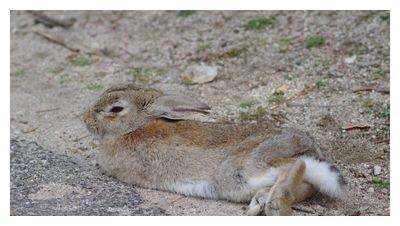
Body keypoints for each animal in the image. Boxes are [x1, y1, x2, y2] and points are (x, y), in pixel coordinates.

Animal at [83, 83, 346, 215]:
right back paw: (263, 203)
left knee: (295, 166)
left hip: (240, 169)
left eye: (116, 109)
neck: (136, 127)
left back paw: (273, 205)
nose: (85, 119)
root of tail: (307, 149)